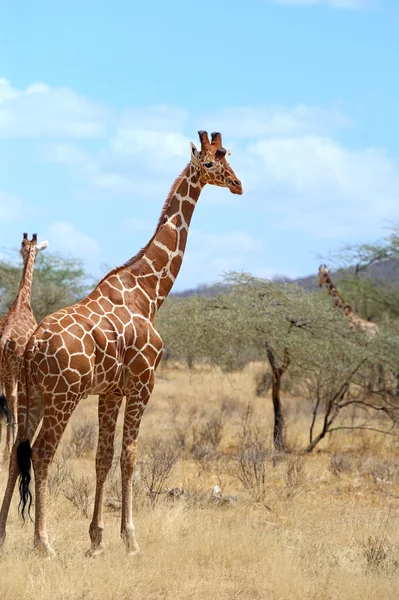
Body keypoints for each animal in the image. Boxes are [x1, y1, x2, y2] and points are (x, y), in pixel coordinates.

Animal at [0, 129, 244, 556]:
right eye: (210, 163)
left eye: (228, 157)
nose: (238, 184)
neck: (150, 291)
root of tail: (31, 347)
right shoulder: (143, 384)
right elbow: (129, 456)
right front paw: (130, 538)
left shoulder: (110, 391)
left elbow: (103, 456)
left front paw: (96, 539)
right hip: (62, 397)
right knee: (43, 454)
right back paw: (43, 543)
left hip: (31, 393)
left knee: (18, 451)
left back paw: (0, 536)